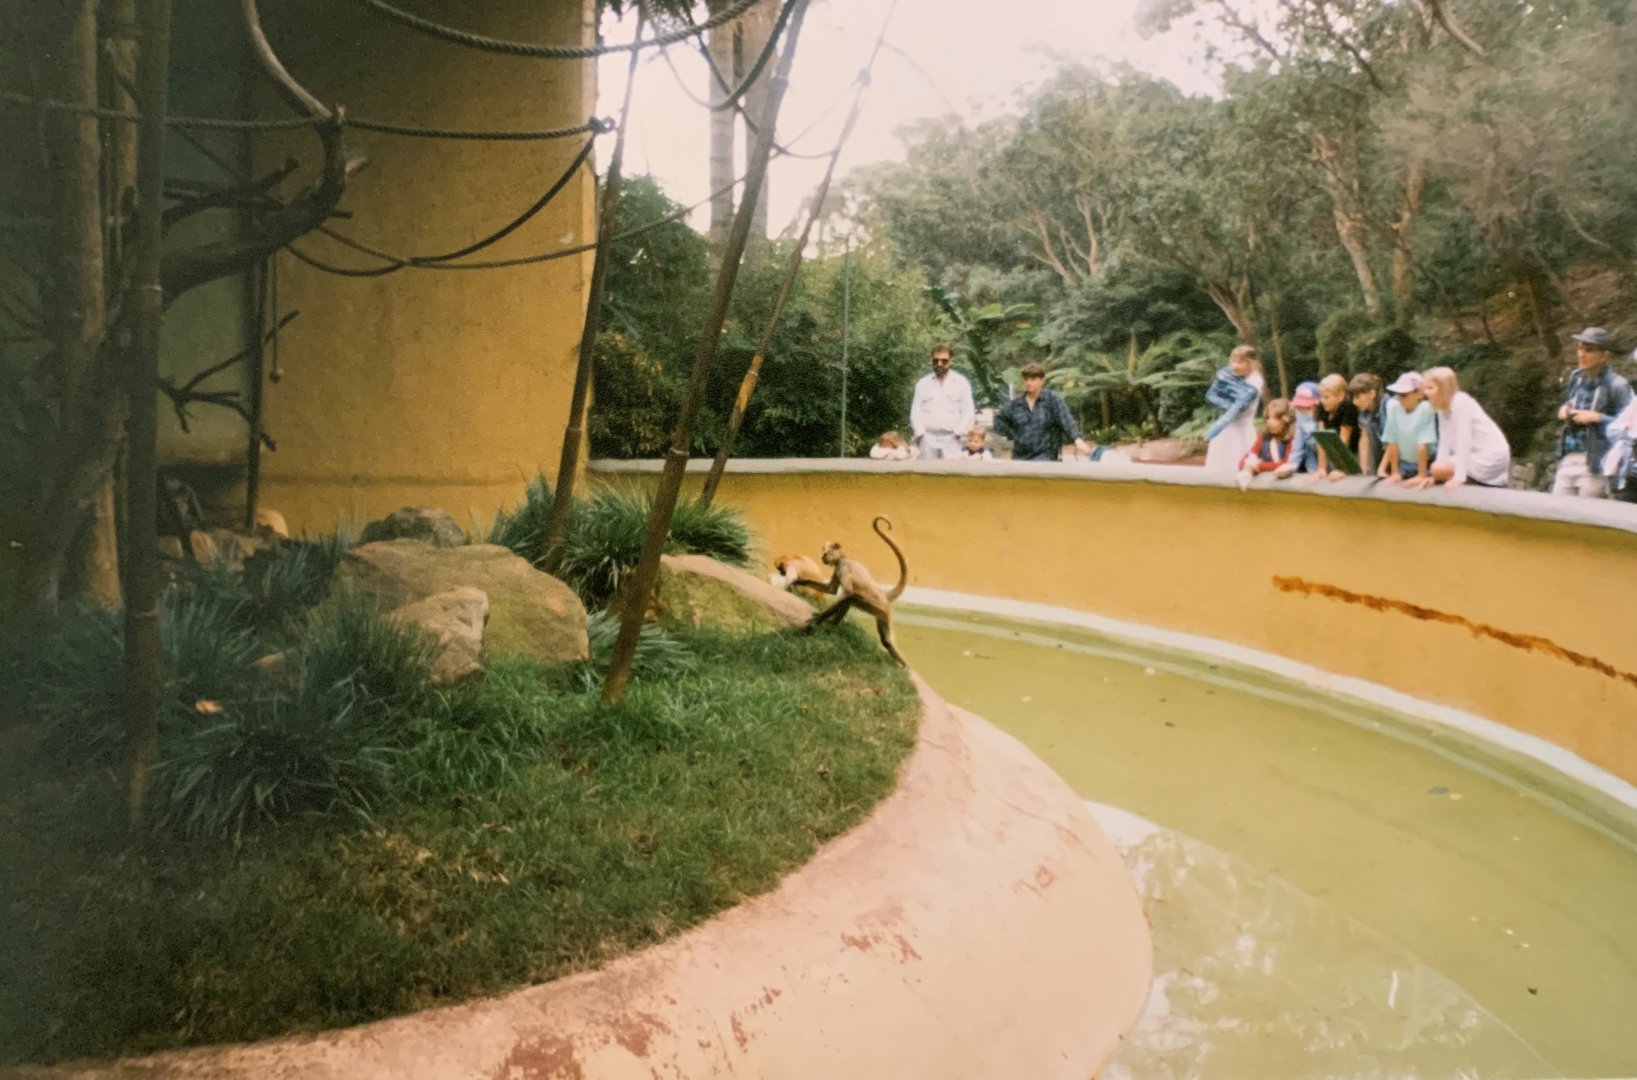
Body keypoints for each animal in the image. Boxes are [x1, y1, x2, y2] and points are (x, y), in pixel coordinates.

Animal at [806, 515, 909, 666]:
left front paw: (817, 620)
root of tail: (883, 594)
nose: (822, 558)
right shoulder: (838, 568)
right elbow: (831, 590)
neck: (846, 557)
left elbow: (847, 592)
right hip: (880, 613)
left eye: (827, 553)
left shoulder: (843, 566)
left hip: (879, 608)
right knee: (885, 641)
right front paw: (795, 581)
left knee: (851, 598)